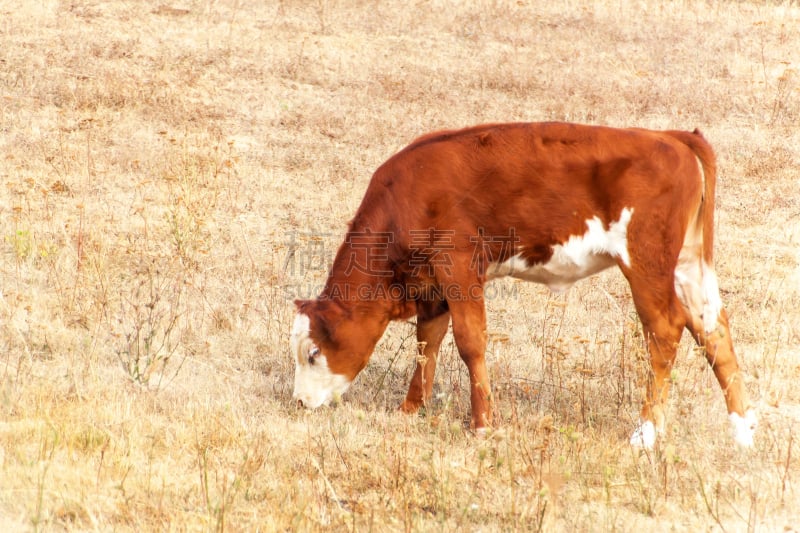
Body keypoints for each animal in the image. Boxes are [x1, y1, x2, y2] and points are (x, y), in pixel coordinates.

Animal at [290, 122, 756, 446]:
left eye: (313, 352)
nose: (297, 402)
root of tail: (670, 137)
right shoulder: (433, 286)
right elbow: (428, 343)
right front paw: (410, 408)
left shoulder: (459, 266)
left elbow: (470, 342)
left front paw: (482, 424)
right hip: (688, 262)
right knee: (713, 329)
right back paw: (742, 430)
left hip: (646, 263)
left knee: (665, 330)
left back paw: (645, 433)